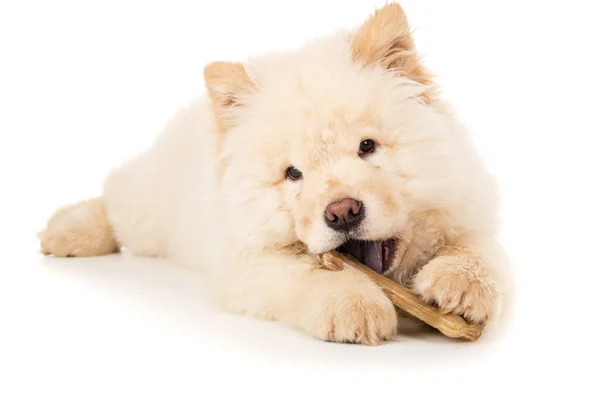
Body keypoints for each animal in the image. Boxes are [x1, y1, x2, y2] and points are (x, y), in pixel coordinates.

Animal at [38, 2, 506, 346]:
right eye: (292, 173)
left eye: (367, 147)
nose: (342, 212)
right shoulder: (245, 264)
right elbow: (305, 273)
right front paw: (355, 306)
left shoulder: (472, 212)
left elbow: (477, 252)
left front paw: (461, 285)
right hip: (151, 211)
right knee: (115, 196)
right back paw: (67, 231)